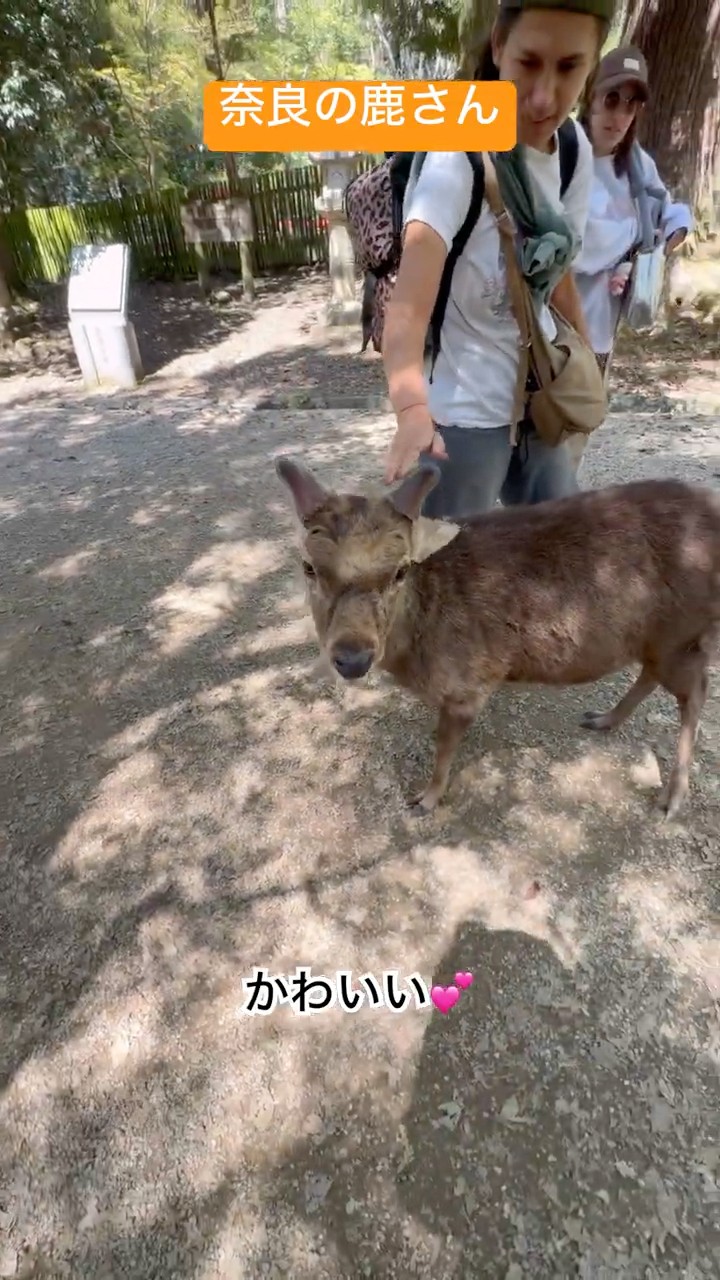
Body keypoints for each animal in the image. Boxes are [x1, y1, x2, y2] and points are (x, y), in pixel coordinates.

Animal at [275, 454, 720, 821]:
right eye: (309, 566)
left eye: (400, 570)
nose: (353, 658)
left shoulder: (469, 682)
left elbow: (444, 747)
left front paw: (426, 799)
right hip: (660, 638)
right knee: (652, 675)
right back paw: (605, 719)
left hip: (683, 632)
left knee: (695, 693)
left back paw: (671, 798)